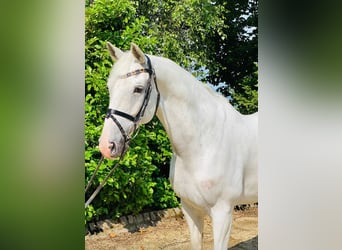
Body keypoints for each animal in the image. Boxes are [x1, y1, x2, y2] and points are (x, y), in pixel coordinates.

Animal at [97, 42, 258, 249]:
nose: (106, 145)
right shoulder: (190, 209)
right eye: (109, 87)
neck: (204, 144)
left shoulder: (223, 213)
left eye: (138, 89)